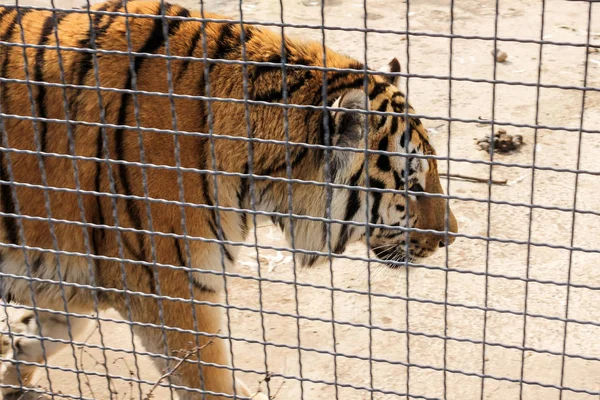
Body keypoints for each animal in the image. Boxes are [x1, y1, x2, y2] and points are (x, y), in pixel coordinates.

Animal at [0, 0, 458, 398]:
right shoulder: (169, 288)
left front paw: (14, 363)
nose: (450, 237)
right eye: (411, 184)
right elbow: (213, 382)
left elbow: (55, 329)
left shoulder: (77, 265)